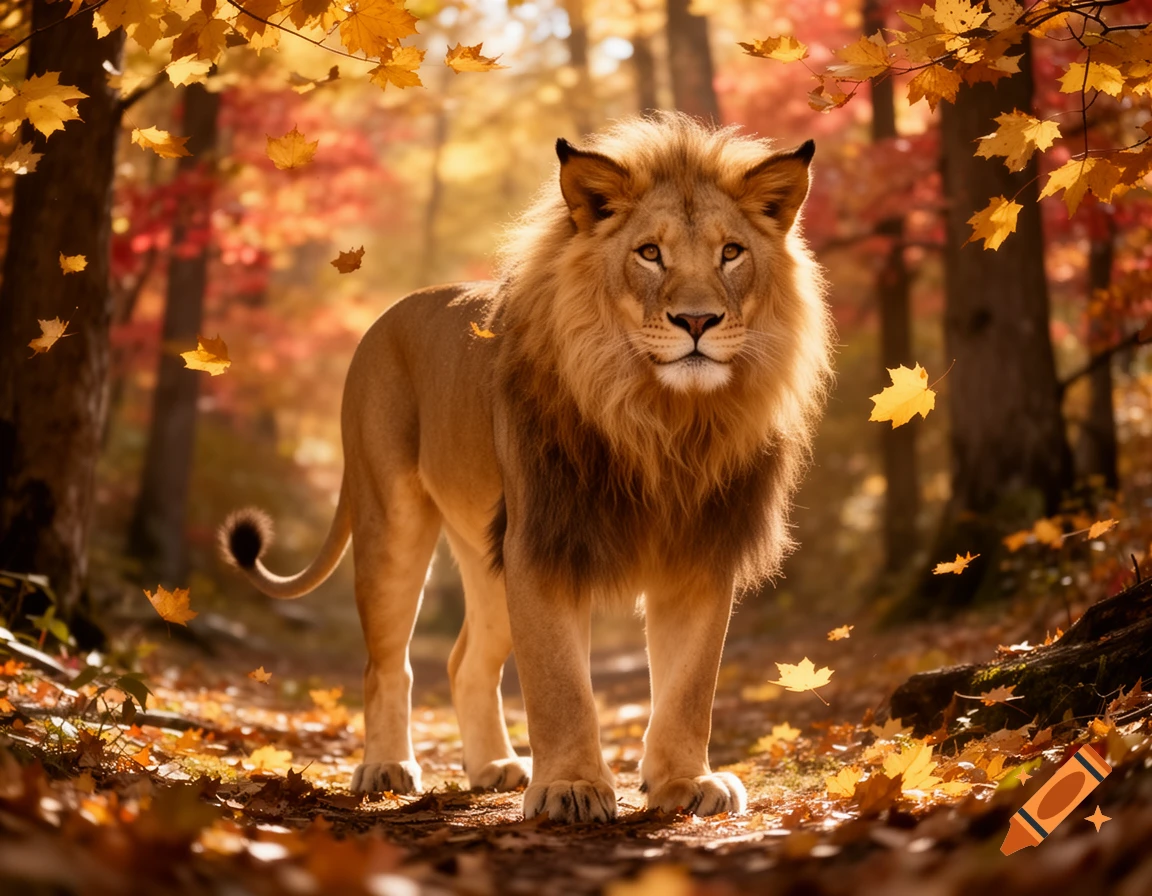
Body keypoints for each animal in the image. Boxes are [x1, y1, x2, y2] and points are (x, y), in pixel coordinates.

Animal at [220, 112, 832, 823]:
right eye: (650, 253)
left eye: (731, 252)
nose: (698, 320)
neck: (662, 420)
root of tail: (388, 315)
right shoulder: (542, 543)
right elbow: (560, 683)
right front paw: (571, 788)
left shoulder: (700, 550)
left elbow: (689, 685)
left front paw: (685, 781)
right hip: (391, 521)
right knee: (388, 662)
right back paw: (386, 768)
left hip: (486, 554)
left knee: (465, 662)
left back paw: (494, 767)